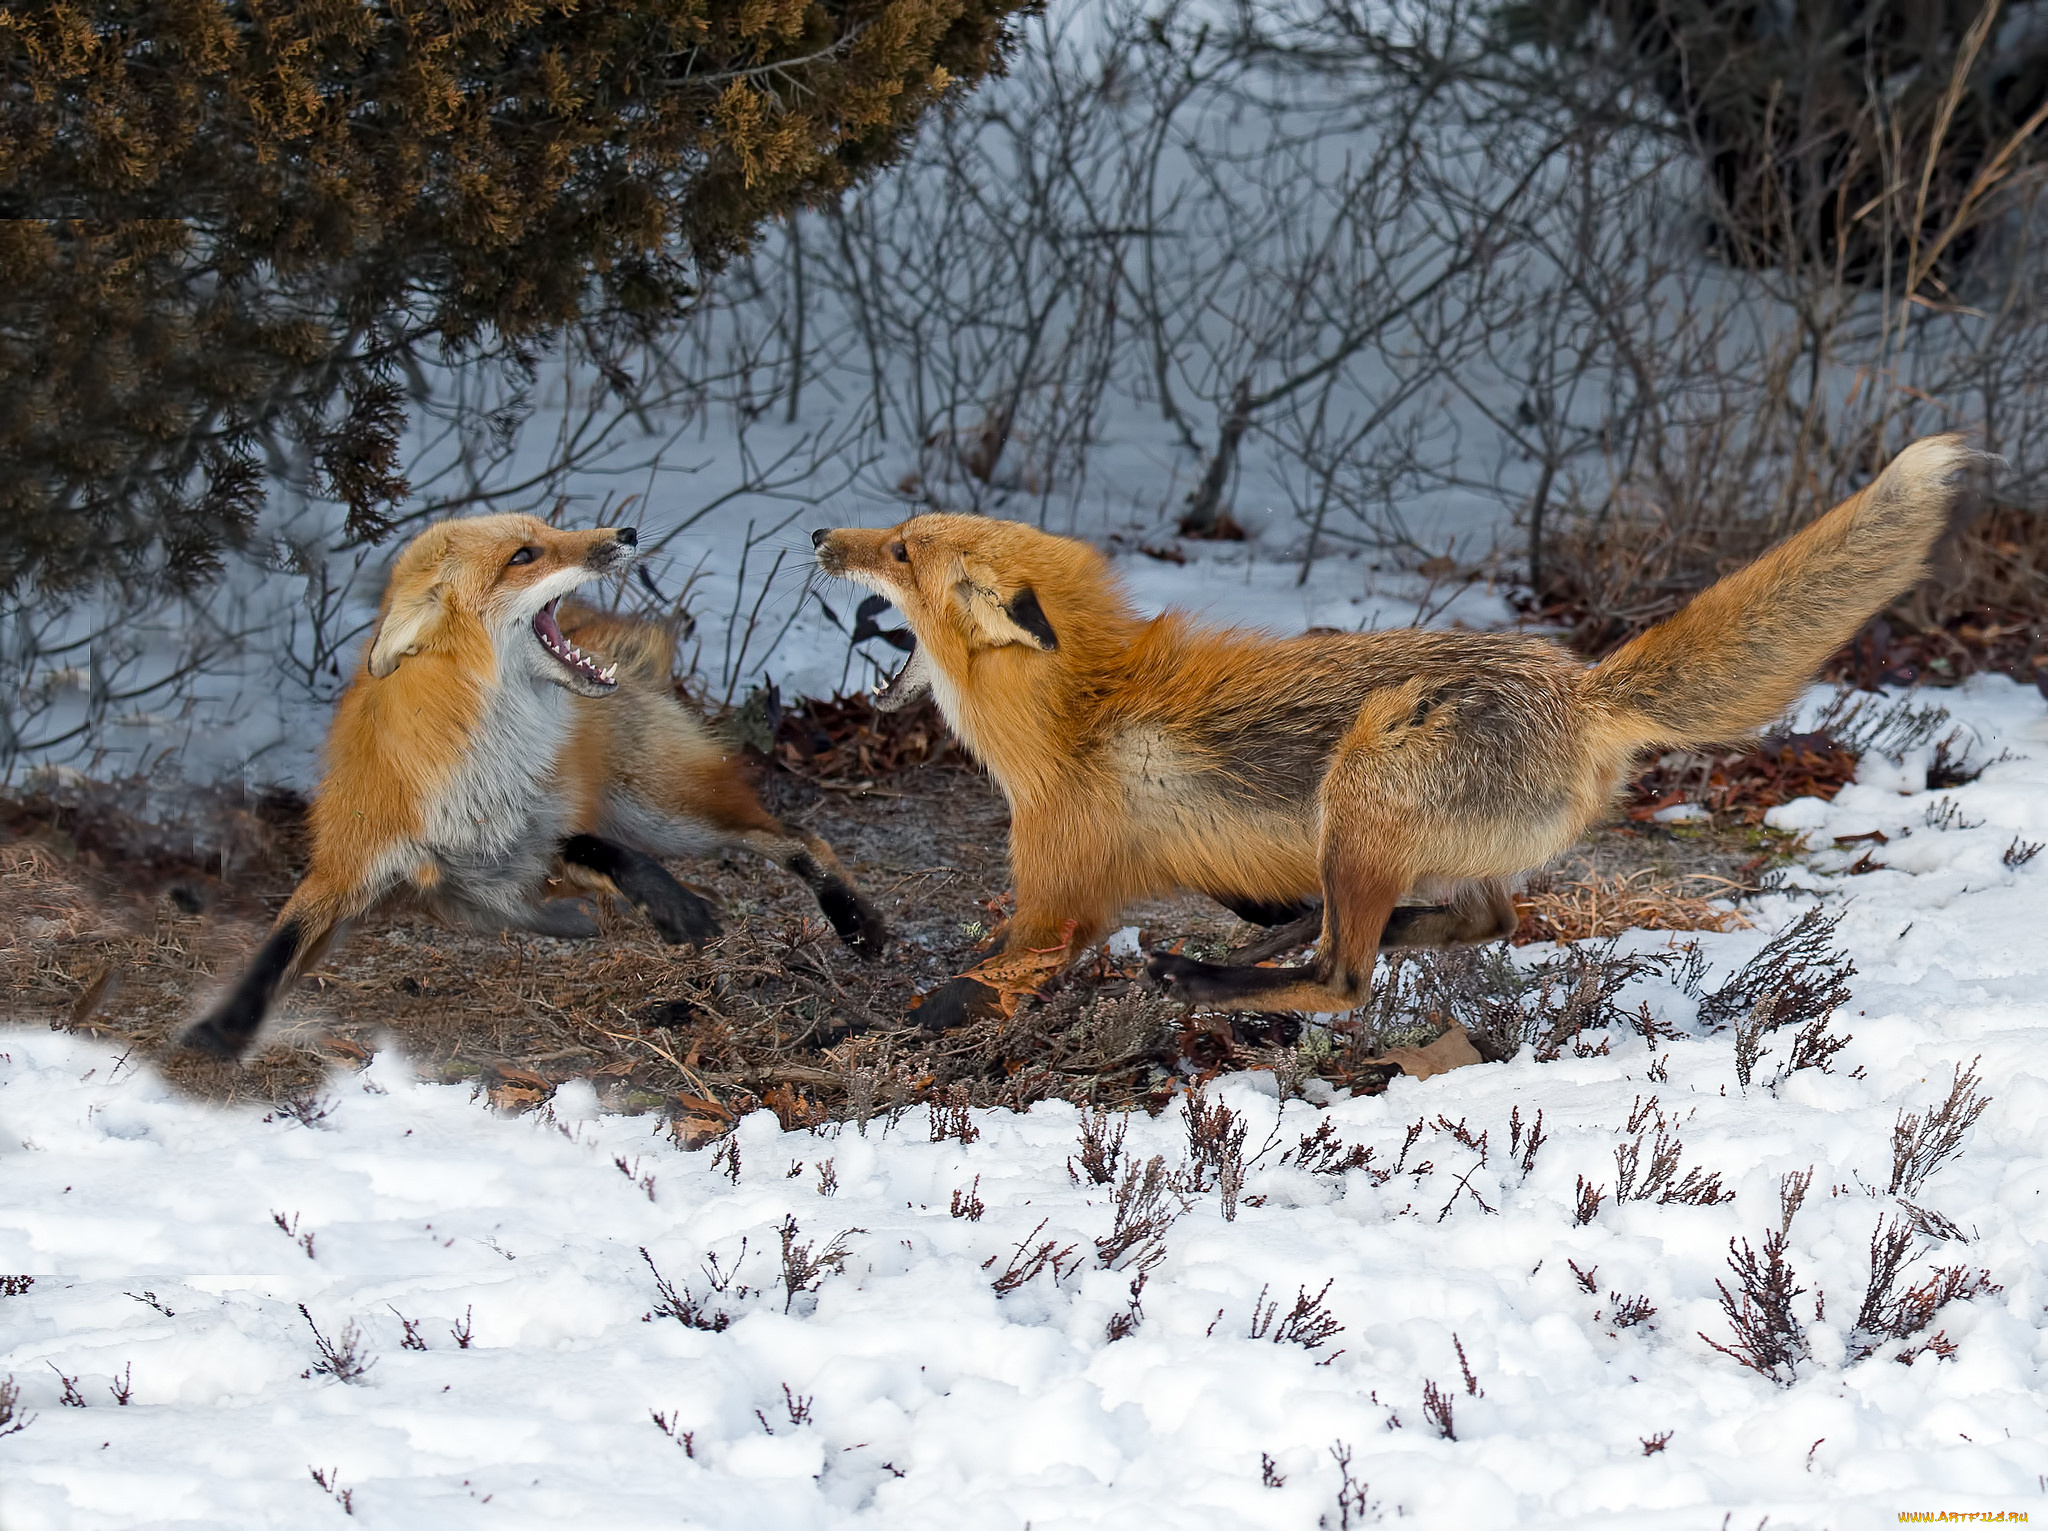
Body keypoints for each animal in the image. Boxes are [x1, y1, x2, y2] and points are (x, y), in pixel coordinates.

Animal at [190, 507, 888, 1056]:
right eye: (523, 556)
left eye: (550, 530)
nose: (627, 532)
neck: (481, 767)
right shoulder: (351, 865)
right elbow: (276, 948)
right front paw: (220, 1030)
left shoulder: (538, 839)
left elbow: (596, 848)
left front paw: (676, 906)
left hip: (669, 816)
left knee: (796, 837)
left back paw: (855, 923)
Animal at [815, 429, 1982, 1027]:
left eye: (904, 549)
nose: (823, 537)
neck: (1075, 716)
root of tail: (1579, 686)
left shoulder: (1059, 895)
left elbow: (978, 974)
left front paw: (894, 1011)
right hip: (1404, 836)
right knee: (1479, 923)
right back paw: (1286, 938)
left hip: (1364, 785)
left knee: (1346, 977)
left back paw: (1212, 978)